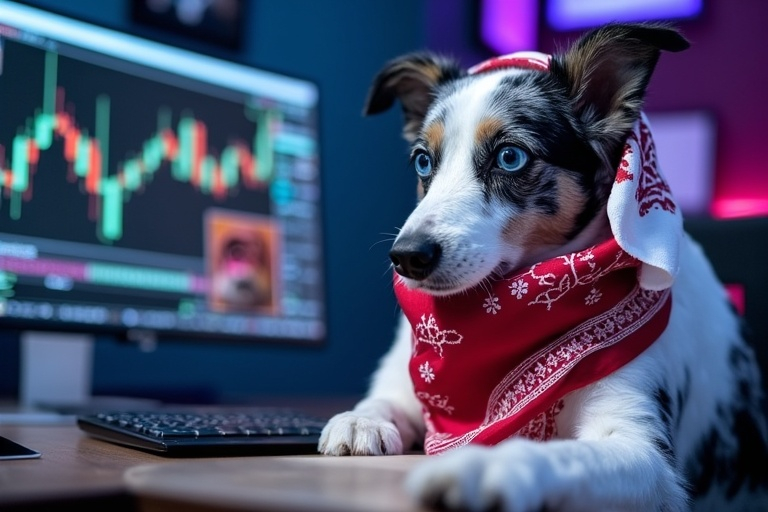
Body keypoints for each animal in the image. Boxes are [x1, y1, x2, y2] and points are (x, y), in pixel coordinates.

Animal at [316, 22, 764, 510]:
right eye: (422, 161)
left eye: (510, 157)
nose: (407, 257)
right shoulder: (404, 378)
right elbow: (382, 400)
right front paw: (361, 419)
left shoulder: (645, 454)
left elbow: (565, 455)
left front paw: (485, 465)